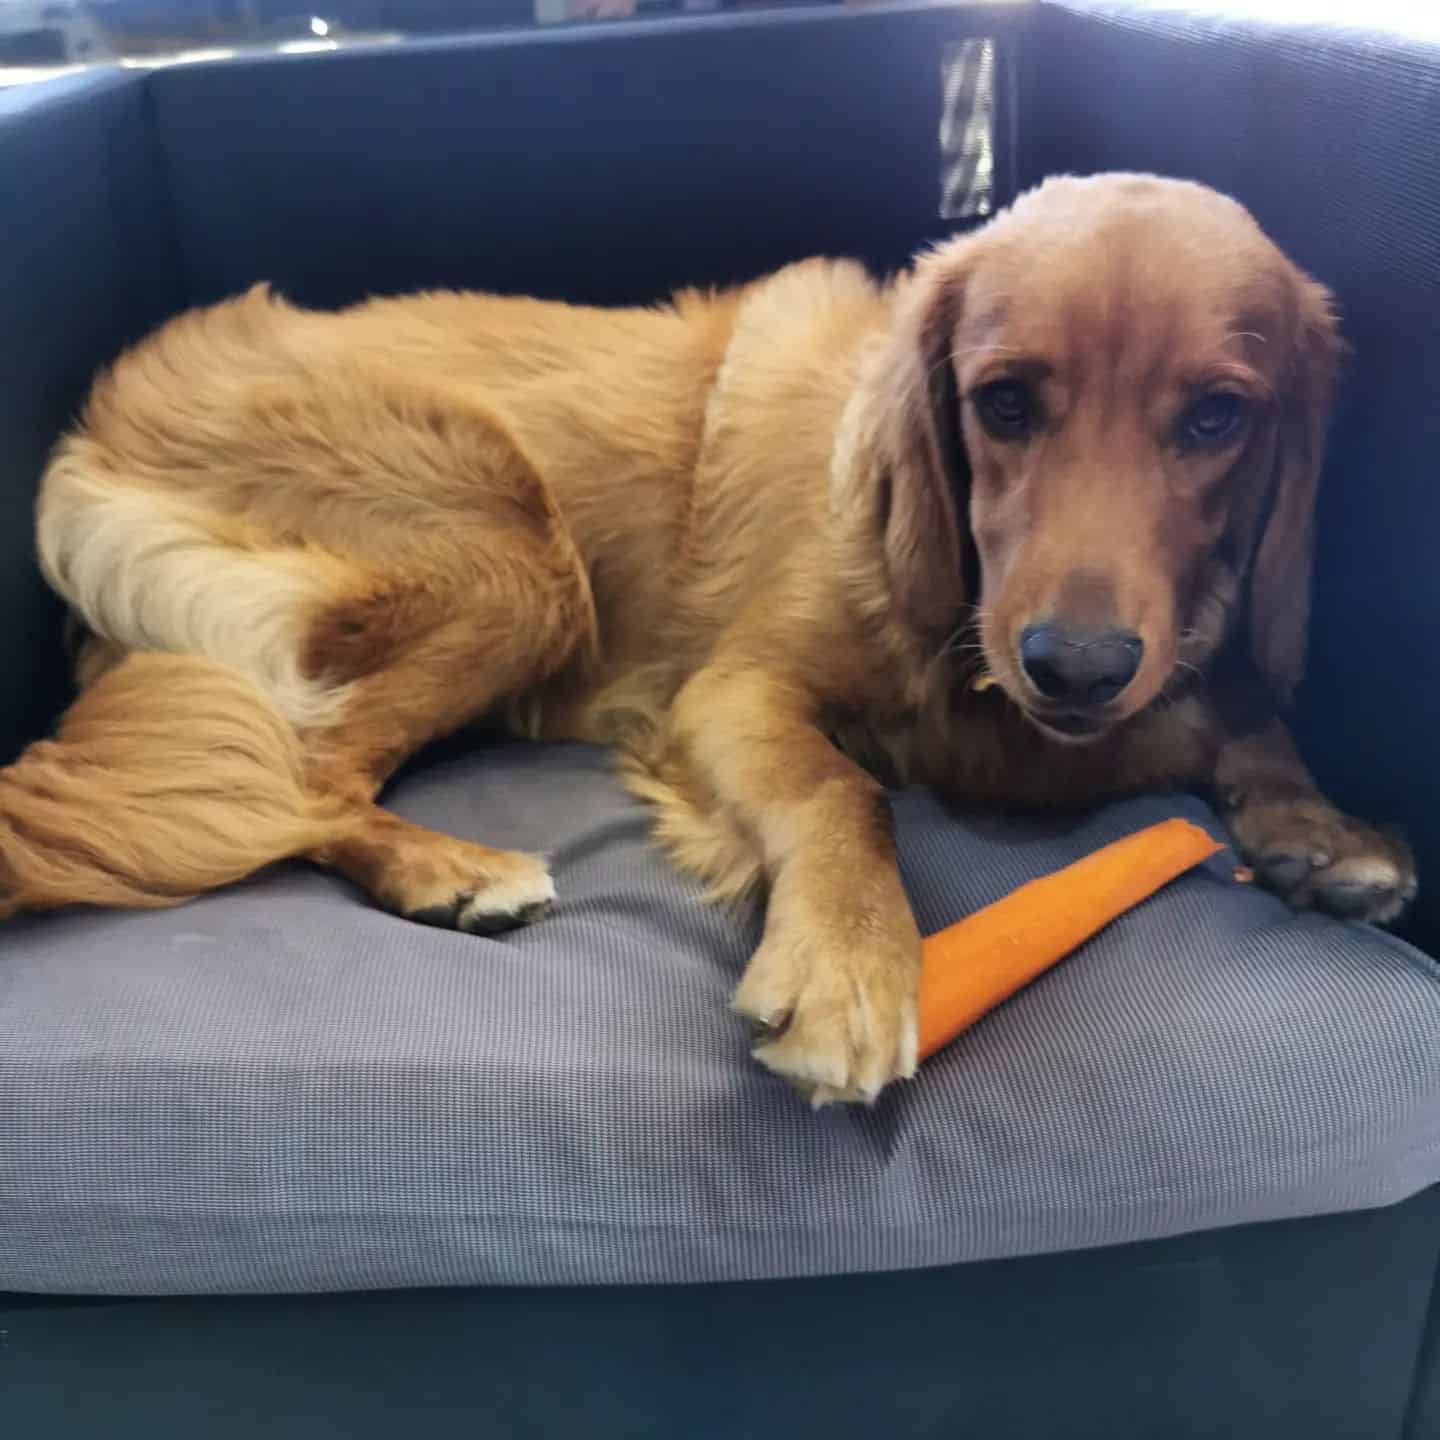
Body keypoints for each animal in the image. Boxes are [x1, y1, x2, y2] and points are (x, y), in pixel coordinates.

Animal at [0, 177, 1416, 1100]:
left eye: (1217, 419)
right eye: (1004, 403)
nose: (1073, 666)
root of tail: (102, 417)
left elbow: (1248, 713)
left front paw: (1323, 829)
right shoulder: (733, 691)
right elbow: (842, 792)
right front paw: (852, 963)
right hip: (520, 558)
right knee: (303, 776)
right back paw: (448, 868)